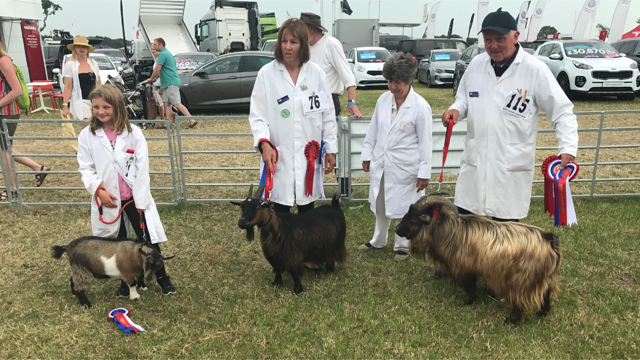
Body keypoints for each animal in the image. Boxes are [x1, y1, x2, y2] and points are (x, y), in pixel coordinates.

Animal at [396, 194, 560, 324]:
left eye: (414, 217)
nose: (397, 229)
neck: (450, 231)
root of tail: (548, 238)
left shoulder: (464, 267)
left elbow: (469, 285)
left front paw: (468, 301)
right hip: (546, 277)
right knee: (546, 293)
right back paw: (543, 312)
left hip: (521, 279)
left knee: (520, 301)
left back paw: (511, 321)